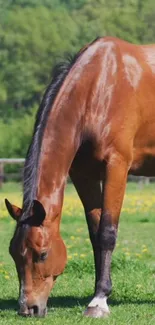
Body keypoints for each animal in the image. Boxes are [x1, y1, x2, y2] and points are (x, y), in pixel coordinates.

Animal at [4, 36, 155, 316]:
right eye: (13, 253)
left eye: (42, 253)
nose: (28, 308)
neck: (100, 87)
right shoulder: (84, 174)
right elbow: (95, 234)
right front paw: (99, 291)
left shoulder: (116, 166)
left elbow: (107, 232)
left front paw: (99, 302)